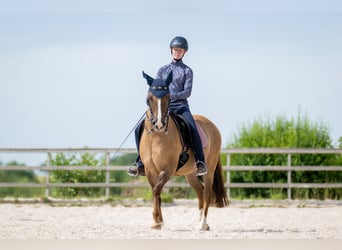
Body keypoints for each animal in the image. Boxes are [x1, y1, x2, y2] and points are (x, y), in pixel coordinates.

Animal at [138, 71, 228, 230]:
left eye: (168, 97)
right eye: (149, 98)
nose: (159, 124)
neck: (157, 137)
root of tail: (212, 125)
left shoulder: (168, 169)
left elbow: (157, 189)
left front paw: (157, 220)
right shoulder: (149, 169)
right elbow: (156, 192)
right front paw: (158, 221)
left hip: (209, 169)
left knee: (207, 193)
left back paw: (202, 224)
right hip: (190, 174)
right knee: (200, 192)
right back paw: (202, 223)